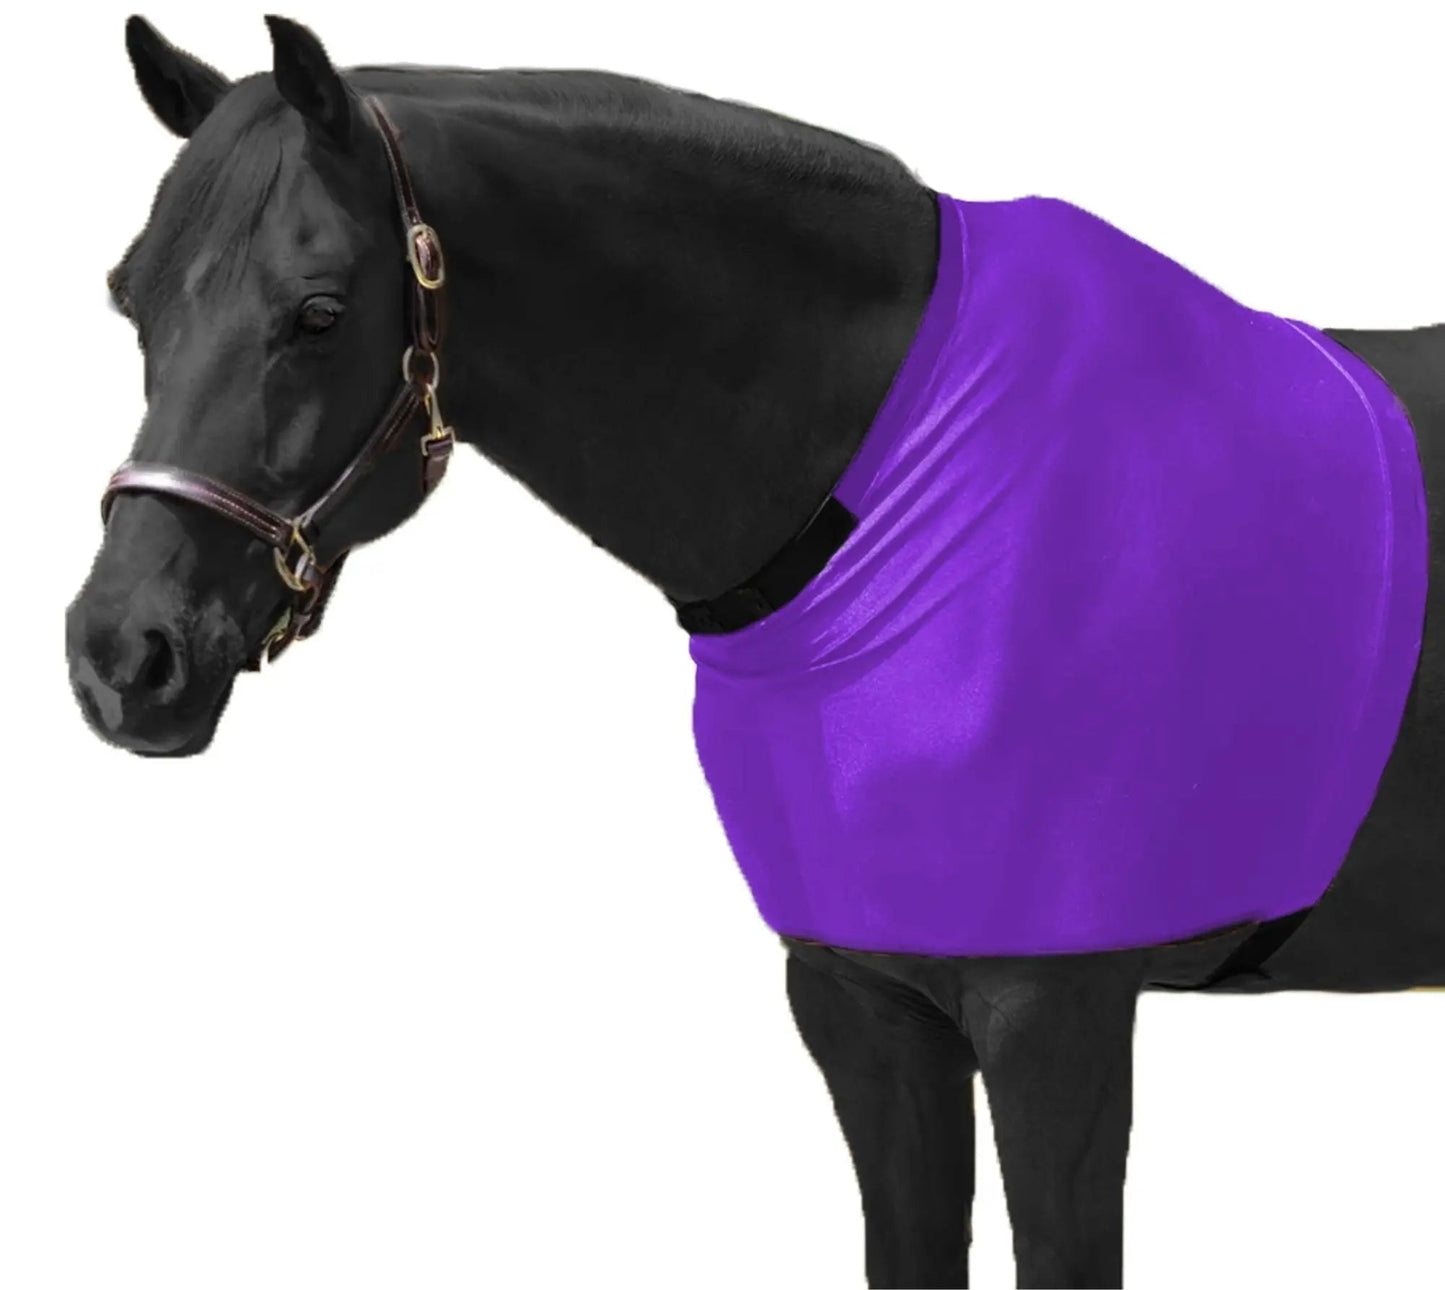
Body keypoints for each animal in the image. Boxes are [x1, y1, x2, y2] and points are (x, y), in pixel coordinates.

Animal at [65, 16, 1444, 1289]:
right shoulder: (862, 1003)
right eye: (133, 298)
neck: (895, 490)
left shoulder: (1056, 1015)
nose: (122, 656)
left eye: (318, 311)